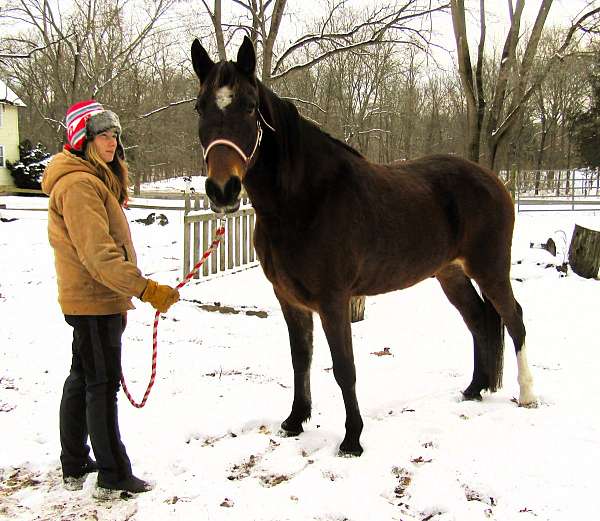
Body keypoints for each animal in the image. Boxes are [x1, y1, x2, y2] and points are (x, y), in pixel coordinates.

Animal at [190, 35, 536, 456]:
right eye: (200, 107)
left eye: (250, 106)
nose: (222, 190)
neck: (305, 200)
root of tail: (494, 181)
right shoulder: (289, 299)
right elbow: (300, 359)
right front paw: (294, 421)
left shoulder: (334, 300)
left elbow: (344, 368)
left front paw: (352, 439)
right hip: (450, 274)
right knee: (479, 321)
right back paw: (474, 389)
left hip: (490, 268)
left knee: (514, 319)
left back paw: (528, 394)